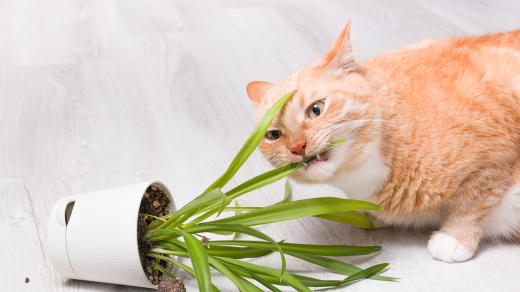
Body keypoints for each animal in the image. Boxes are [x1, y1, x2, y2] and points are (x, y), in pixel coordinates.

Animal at [247, 20, 520, 262]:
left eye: (316, 109)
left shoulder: (493, 156)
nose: (297, 147)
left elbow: (472, 202)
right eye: (274, 134)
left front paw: (454, 238)